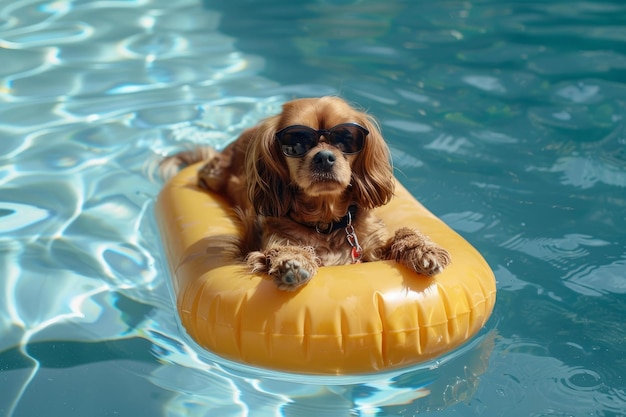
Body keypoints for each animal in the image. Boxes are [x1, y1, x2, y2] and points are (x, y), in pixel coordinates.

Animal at [158, 96, 446, 290]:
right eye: (296, 142)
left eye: (345, 138)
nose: (324, 157)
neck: (326, 222)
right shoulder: (272, 241)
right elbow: (284, 249)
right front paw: (293, 262)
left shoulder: (370, 245)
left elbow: (402, 235)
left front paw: (424, 250)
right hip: (214, 173)